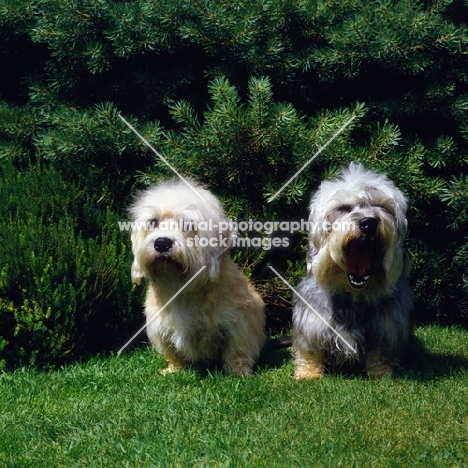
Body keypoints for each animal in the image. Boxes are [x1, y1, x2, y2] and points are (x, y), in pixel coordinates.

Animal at [130, 178, 266, 376]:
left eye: (187, 225)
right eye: (153, 222)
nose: (162, 243)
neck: (181, 288)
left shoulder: (239, 323)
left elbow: (237, 350)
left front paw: (238, 370)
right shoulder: (160, 328)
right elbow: (172, 351)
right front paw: (173, 368)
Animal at [292, 163, 414, 378]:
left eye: (382, 207)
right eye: (343, 209)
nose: (368, 223)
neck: (353, 294)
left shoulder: (388, 326)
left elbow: (380, 351)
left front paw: (380, 372)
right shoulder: (310, 323)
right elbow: (309, 349)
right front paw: (308, 373)